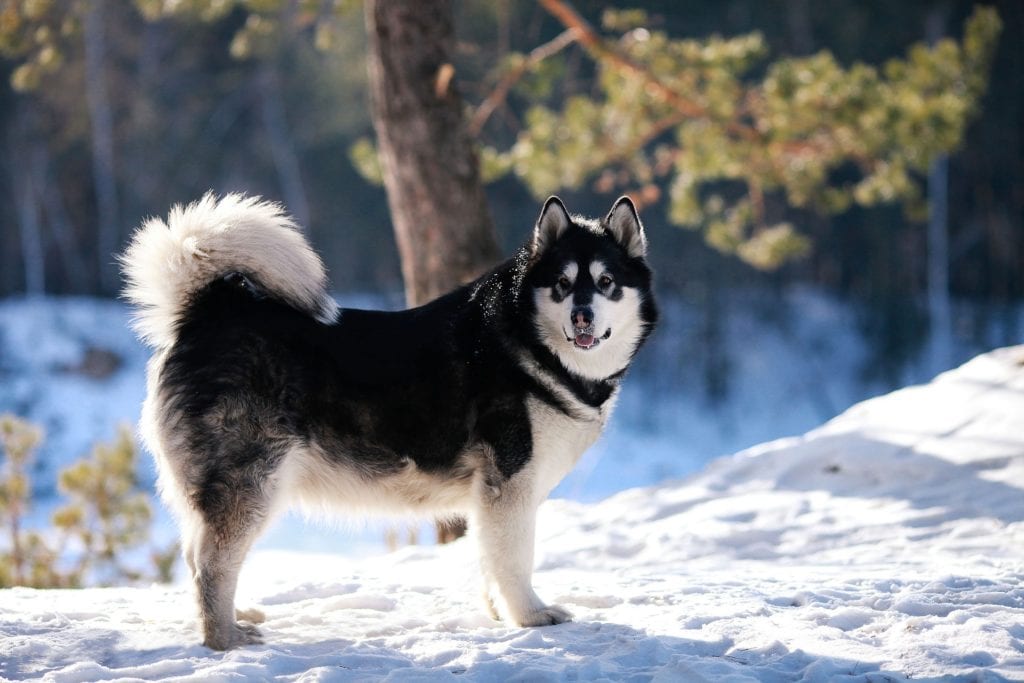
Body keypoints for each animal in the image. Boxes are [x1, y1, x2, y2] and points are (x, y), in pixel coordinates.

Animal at [121, 191, 655, 647]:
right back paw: (224, 638)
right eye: (562, 285)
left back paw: (233, 617)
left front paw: (499, 614)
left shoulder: (492, 497)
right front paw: (530, 616)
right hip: (250, 485)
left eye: (605, 283)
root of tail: (206, 312)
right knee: (210, 566)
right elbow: (515, 561)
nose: (583, 316)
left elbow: (489, 560)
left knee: (195, 556)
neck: (529, 343)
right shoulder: (510, 486)